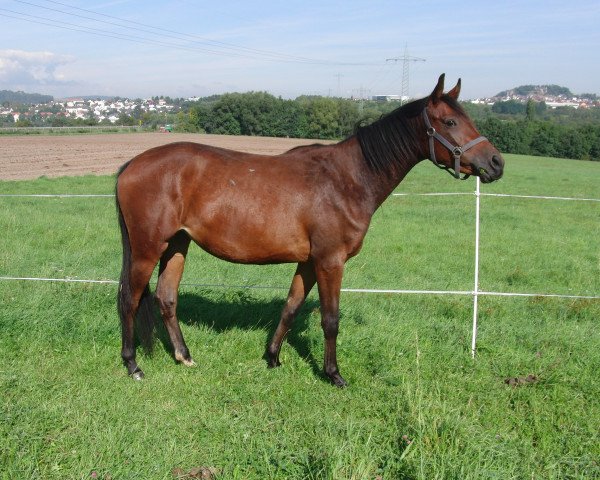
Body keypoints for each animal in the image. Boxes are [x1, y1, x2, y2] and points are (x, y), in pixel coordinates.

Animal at [115, 76, 504, 390]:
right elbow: (330, 320)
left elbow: (291, 307)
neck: (347, 179)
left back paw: (184, 356)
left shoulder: (308, 262)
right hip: (147, 249)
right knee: (129, 300)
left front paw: (273, 358)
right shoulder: (331, 261)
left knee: (166, 298)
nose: (496, 163)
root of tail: (131, 165)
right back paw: (133, 366)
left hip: (177, 244)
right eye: (450, 121)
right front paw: (333, 374)